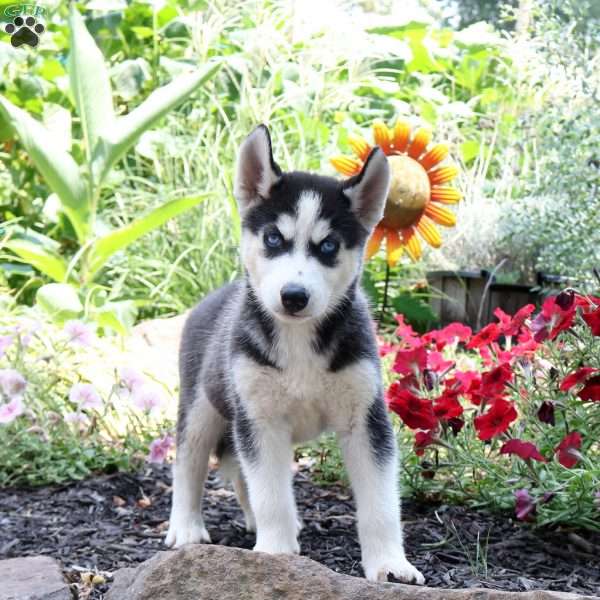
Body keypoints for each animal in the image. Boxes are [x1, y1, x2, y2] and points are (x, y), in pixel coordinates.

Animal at [166, 124, 424, 584]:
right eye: (273, 238)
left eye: (329, 246)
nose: (294, 296)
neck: (300, 339)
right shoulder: (260, 418)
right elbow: (271, 493)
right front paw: (275, 555)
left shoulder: (366, 419)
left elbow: (380, 502)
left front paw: (391, 565)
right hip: (201, 405)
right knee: (190, 463)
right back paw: (186, 527)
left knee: (238, 470)